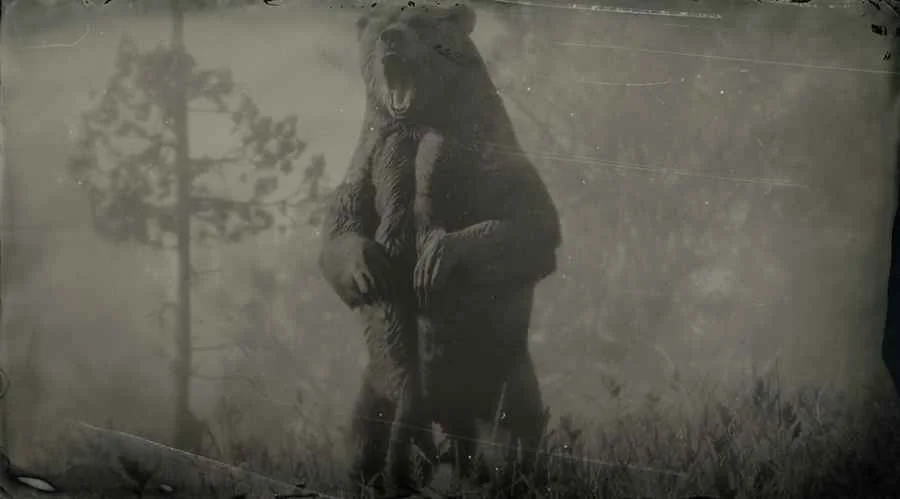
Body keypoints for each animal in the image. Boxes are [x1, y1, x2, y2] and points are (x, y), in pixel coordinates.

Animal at [317, 1, 562, 495]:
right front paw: (371, 267)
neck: (417, 121)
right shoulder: (371, 156)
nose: (391, 36)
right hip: (377, 383)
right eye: (378, 22)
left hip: (503, 367)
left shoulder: (489, 153)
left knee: (517, 426)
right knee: (367, 433)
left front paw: (432, 263)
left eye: (421, 21)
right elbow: (340, 227)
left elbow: (531, 225)